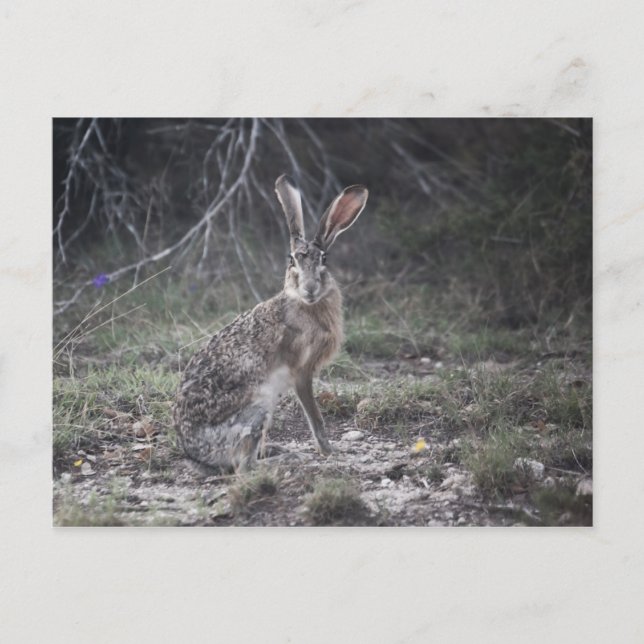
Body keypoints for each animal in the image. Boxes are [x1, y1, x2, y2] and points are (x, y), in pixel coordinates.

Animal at [174, 175, 368, 472]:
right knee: (244, 466)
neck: (305, 304)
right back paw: (288, 458)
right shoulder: (301, 370)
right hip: (259, 407)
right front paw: (329, 451)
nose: (310, 289)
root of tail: (194, 450)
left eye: (324, 259)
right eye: (291, 261)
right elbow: (315, 417)